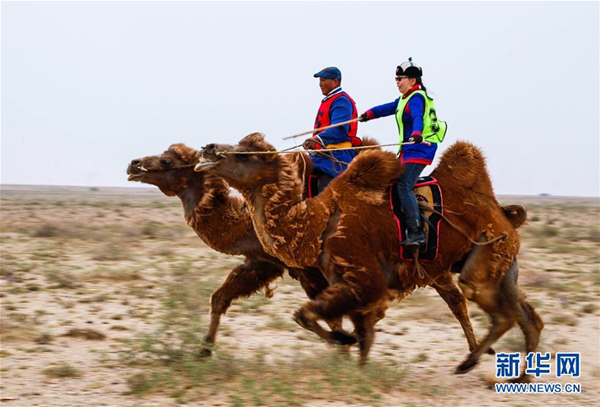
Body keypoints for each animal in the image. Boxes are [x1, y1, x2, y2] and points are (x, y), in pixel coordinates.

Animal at [197, 133, 544, 380]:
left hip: (483, 258)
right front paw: (350, 355)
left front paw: (344, 345)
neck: (317, 224)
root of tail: (503, 212)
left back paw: (471, 362)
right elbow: (357, 329)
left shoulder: (363, 278)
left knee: (495, 310)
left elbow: (313, 317)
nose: (208, 149)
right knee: (526, 316)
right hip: (500, 264)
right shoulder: (336, 279)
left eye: (249, 153)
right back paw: (519, 375)